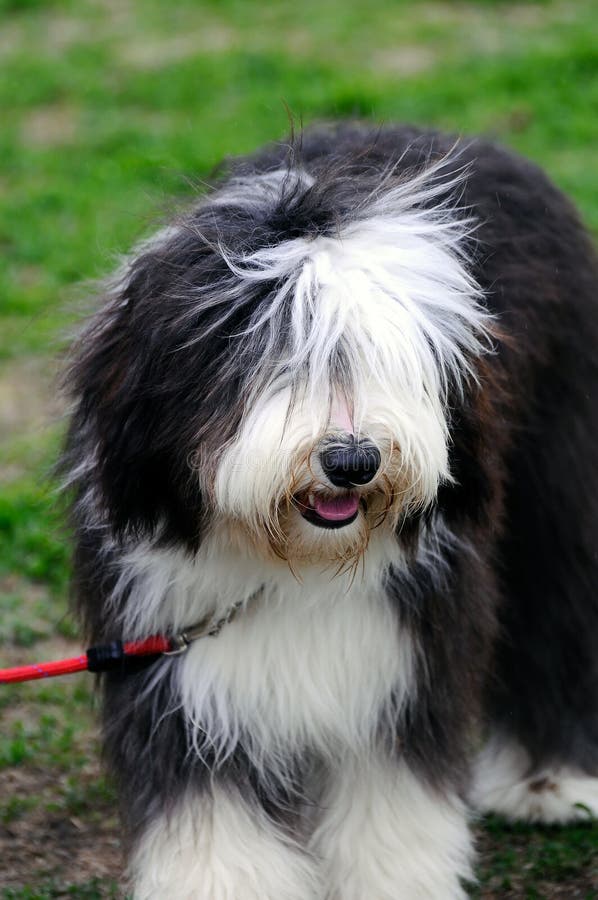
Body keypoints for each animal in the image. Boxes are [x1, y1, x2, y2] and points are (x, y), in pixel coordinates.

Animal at [62, 121, 598, 900]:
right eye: (270, 356)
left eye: (386, 359)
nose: (352, 461)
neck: (295, 562)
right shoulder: (167, 646)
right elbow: (213, 812)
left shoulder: (405, 653)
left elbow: (392, 797)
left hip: (554, 474)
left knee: (557, 608)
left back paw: (550, 782)